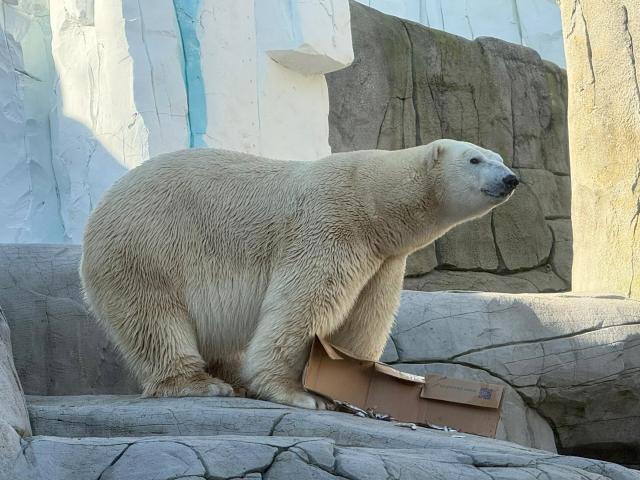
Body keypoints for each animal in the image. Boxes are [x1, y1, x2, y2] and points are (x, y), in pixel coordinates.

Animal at [80, 139, 518, 409]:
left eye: (499, 158)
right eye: (475, 159)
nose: (510, 178)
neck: (374, 200)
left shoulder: (384, 258)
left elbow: (366, 319)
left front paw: (348, 385)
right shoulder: (331, 225)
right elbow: (304, 305)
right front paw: (299, 393)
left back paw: (234, 378)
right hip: (146, 249)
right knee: (155, 318)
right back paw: (201, 384)